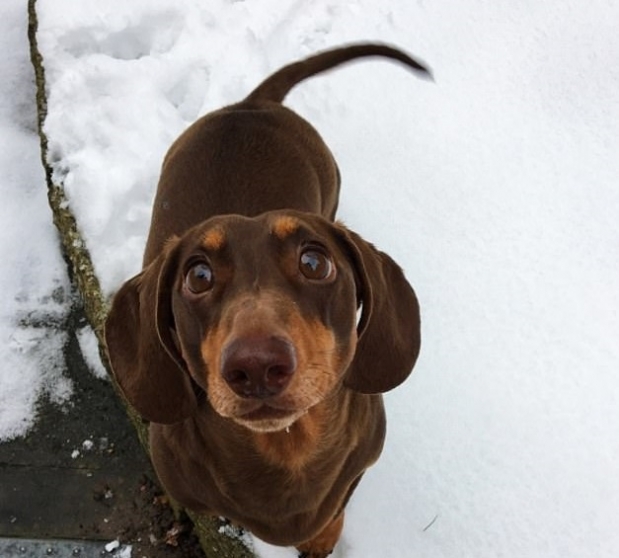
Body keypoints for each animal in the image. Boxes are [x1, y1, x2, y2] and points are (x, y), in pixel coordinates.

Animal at [104, 43, 428, 558]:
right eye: (197, 275)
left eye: (315, 262)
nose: (256, 366)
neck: (287, 450)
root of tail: (252, 103)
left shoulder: (360, 465)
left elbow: (335, 509)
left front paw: (322, 539)